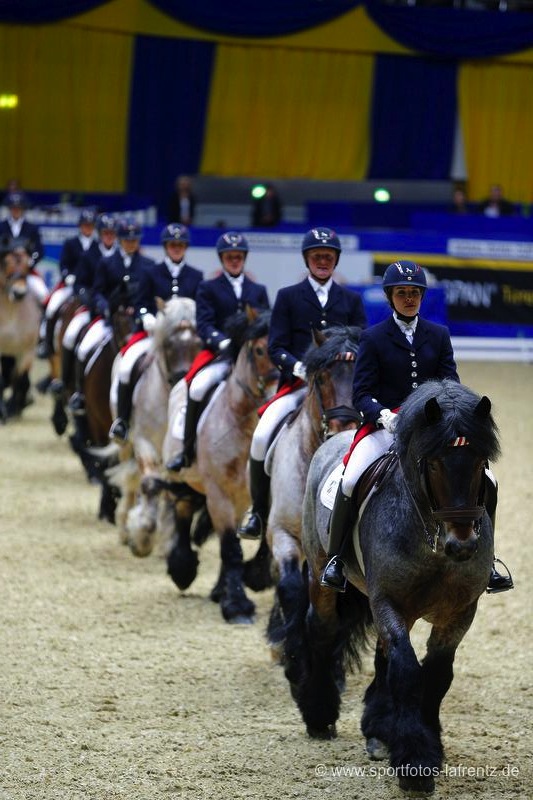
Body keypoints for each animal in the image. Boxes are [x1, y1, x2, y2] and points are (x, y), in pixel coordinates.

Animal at [106, 296, 202, 552]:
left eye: (199, 343)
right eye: (168, 343)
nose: (181, 379)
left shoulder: (176, 457)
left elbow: (169, 491)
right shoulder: (144, 442)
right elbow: (149, 484)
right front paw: (143, 536)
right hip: (125, 444)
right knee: (131, 482)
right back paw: (124, 526)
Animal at [160, 306, 278, 624]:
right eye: (259, 350)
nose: (272, 397)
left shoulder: (248, 497)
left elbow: (240, 545)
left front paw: (235, 591)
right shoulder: (219, 495)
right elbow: (231, 549)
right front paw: (237, 606)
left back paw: (217, 588)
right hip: (183, 480)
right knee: (182, 512)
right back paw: (183, 569)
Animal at [282, 380, 498, 792]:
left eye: (481, 462)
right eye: (433, 462)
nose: (462, 546)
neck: (433, 544)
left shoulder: (460, 612)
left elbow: (436, 675)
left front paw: (426, 745)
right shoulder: (389, 602)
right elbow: (408, 672)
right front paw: (415, 762)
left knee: (384, 656)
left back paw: (379, 729)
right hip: (322, 576)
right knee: (321, 630)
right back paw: (319, 715)